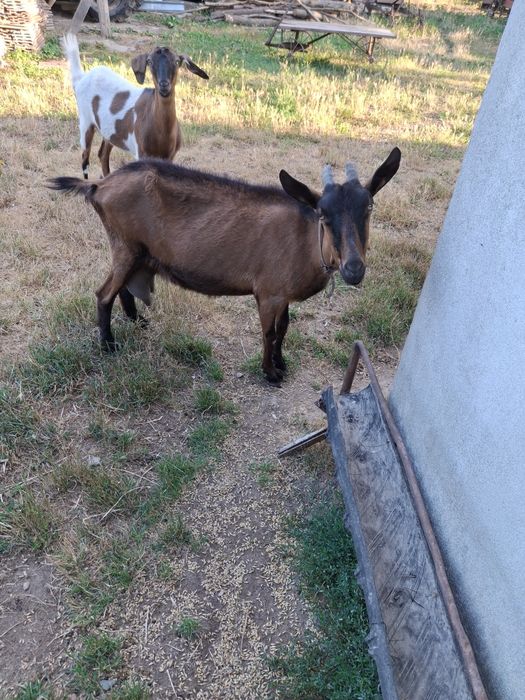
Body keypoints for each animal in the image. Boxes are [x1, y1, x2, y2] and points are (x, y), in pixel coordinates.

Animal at [48, 149, 401, 384]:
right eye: (324, 215)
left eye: (369, 207)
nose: (354, 268)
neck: (304, 237)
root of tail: (99, 185)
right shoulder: (268, 292)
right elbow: (269, 332)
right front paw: (270, 373)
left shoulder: (282, 293)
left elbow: (284, 329)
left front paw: (282, 363)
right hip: (125, 245)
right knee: (104, 293)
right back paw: (108, 345)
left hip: (136, 253)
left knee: (123, 288)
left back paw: (138, 322)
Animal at [61, 33, 209, 179]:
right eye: (149, 61)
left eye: (177, 61)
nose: (164, 85)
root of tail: (81, 78)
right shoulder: (141, 153)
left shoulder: (169, 156)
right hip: (85, 122)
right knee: (85, 159)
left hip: (108, 131)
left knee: (102, 154)